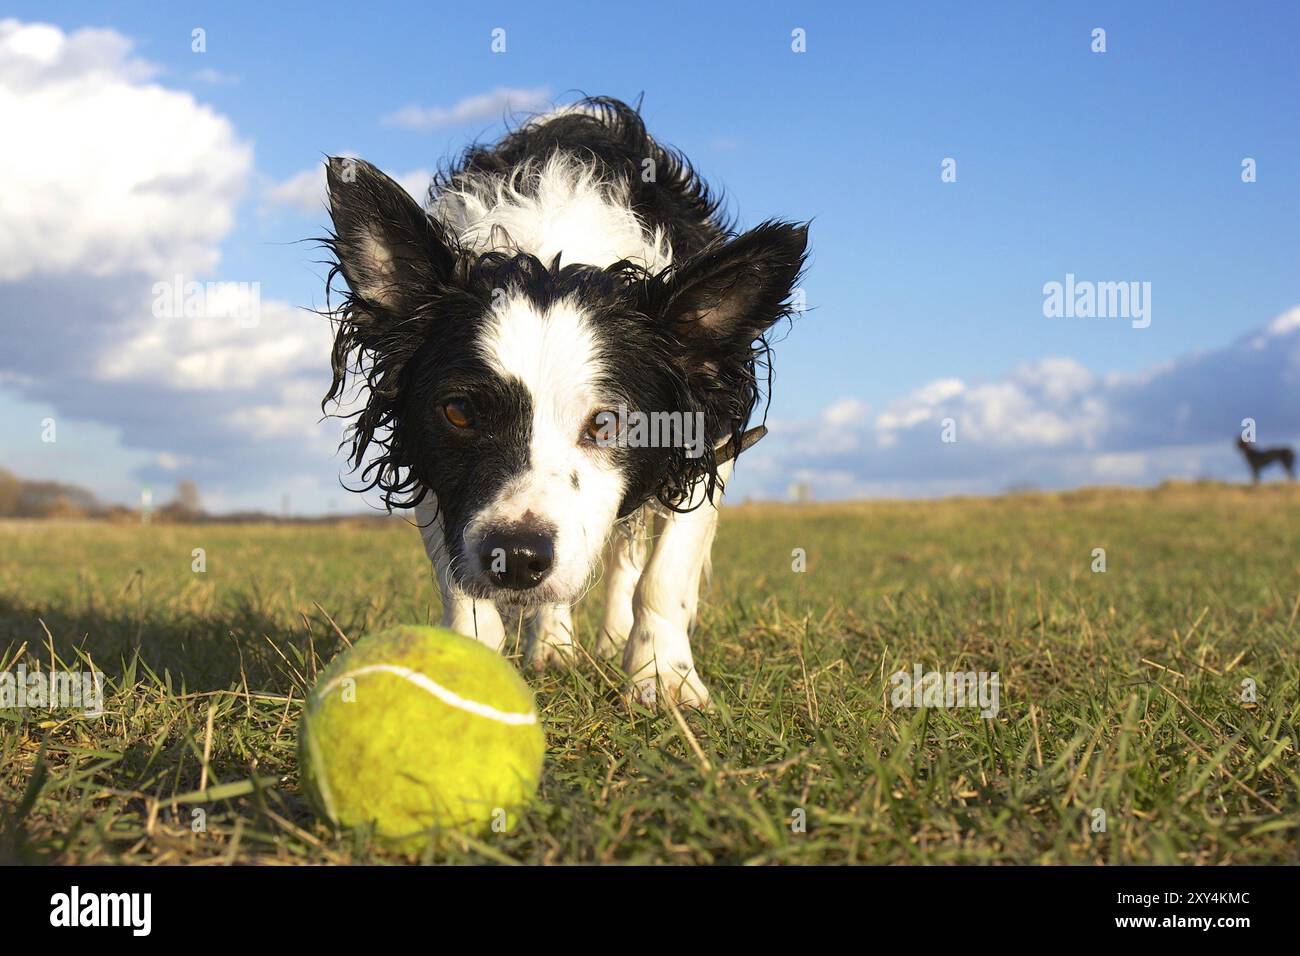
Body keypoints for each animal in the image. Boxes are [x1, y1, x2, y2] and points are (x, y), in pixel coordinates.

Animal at [323, 98, 806, 712]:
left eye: (609, 423)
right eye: (459, 412)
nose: (516, 558)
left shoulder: (710, 432)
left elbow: (664, 575)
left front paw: (662, 676)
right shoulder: (425, 455)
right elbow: (461, 587)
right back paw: (553, 643)